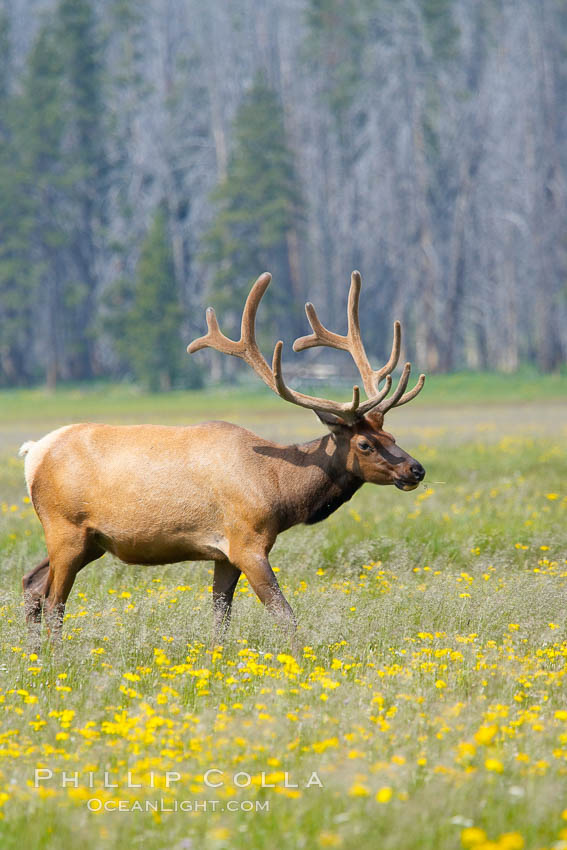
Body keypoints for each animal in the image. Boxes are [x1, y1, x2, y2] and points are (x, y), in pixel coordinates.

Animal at [20, 272, 424, 648]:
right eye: (364, 444)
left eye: (391, 436)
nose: (415, 469)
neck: (278, 488)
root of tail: (33, 452)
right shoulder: (247, 542)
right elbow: (284, 615)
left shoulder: (224, 554)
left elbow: (221, 616)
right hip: (65, 528)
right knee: (54, 601)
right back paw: (58, 658)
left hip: (90, 540)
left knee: (32, 584)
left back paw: (36, 656)